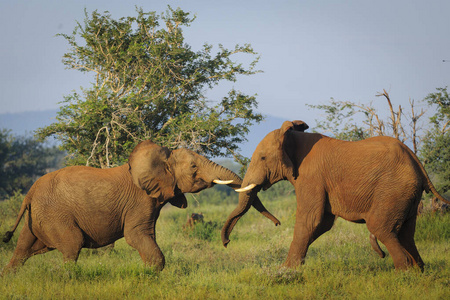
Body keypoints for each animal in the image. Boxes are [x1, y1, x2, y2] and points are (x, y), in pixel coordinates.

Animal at [1, 140, 280, 274]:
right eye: (193, 167)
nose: (278, 224)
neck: (160, 158)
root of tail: (30, 192)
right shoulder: (140, 200)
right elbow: (137, 236)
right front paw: (152, 274)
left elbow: (147, 236)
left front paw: (147, 273)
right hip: (55, 214)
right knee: (71, 245)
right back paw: (68, 279)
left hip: (39, 216)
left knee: (22, 249)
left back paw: (10, 277)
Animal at [222, 120, 450, 272]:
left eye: (262, 158)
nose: (226, 243)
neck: (292, 137)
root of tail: (416, 161)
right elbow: (322, 223)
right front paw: (292, 268)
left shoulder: (311, 177)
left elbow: (310, 220)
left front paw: (285, 270)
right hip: (408, 194)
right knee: (405, 233)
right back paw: (419, 271)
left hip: (393, 189)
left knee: (381, 227)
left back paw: (405, 272)